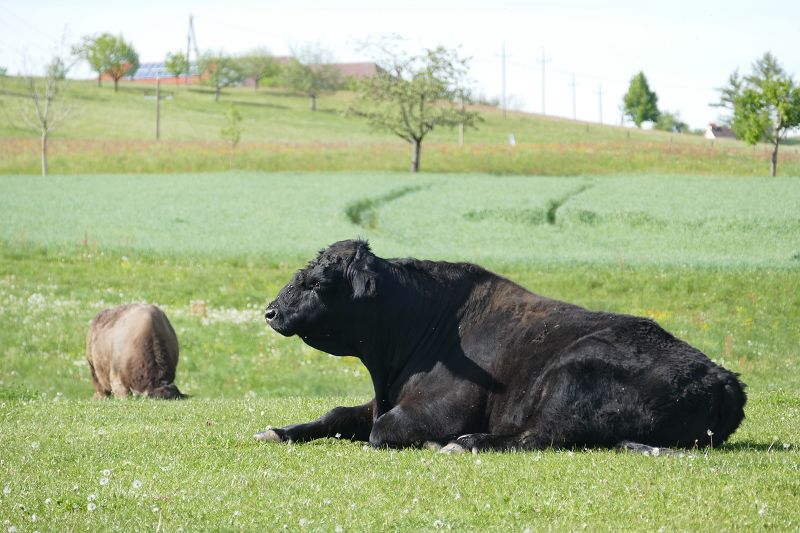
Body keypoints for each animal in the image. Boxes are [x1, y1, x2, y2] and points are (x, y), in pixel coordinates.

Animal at [256, 240, 746, 453]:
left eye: (318, 282)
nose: (270, 311)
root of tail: (722, 377)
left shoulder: (444, 407)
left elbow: (382, 430)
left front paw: (435, 440)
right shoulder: (379, 399)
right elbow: (337, 415)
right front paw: (279, 431)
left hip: (572, 377)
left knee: (537, 436)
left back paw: (465, 443)